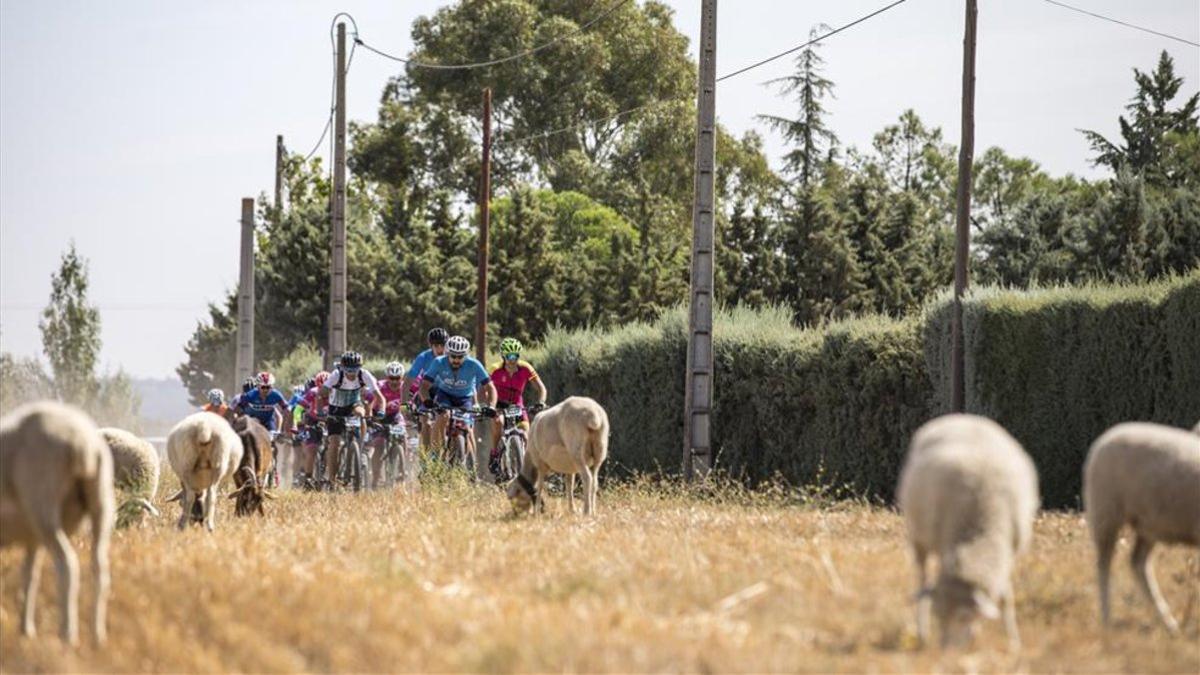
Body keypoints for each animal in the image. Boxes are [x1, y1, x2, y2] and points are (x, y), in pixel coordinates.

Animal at [0, 401, 113, 643]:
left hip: (43, 505)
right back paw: (97, 636)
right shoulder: (31, 538)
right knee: (99, 567)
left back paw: (67, 634)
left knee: (67, 565)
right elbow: (29, 575)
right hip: (101, 503)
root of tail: (82, 441)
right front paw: (26, 629)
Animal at [902, 410, 1041, 648]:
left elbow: (1006, 596)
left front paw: (1012, 641)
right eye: (939, 615)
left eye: (963, 616)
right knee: (923, 578)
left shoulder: (1009, 551)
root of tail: (959, 416)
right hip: (919, 538)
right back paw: (922, 631)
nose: (945, 649)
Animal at [1080, 417, 1200, 634]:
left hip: (1148, 525)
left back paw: (1167, 622)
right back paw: (1107, 617)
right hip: (1106, 512)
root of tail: (1106, 437)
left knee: (1137, 563)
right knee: (1104, 564)